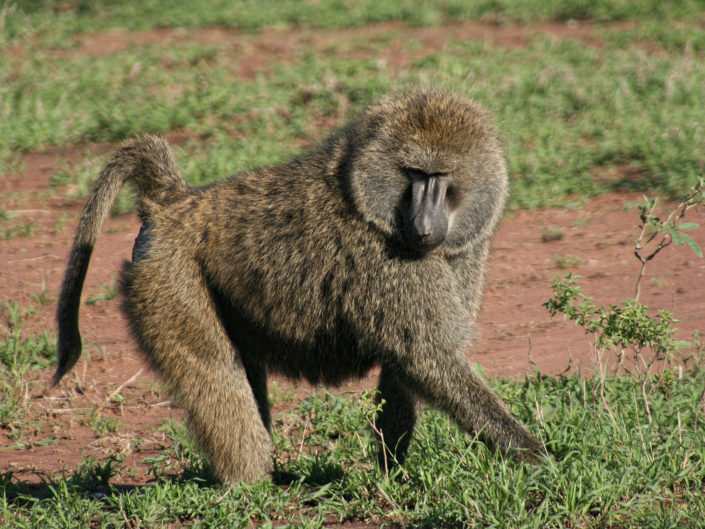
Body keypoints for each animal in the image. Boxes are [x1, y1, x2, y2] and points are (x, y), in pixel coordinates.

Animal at [54, 87, 546, 482]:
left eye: (440, 177)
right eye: (414, 174)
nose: (424, 226)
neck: (365, 197)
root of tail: (177, 202)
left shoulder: (461, 251)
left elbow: (405, 367)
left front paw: (391, 475)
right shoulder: (389, 264)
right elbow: (424, 356)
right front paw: (537, 458)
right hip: (167, 277)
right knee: (216, 375)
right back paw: (252, 488)